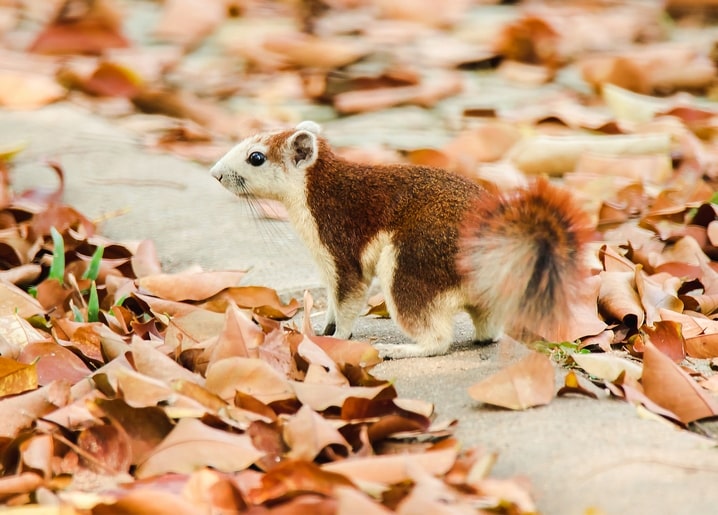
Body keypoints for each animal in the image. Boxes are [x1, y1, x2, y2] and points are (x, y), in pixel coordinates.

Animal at [210, 121, 592, 359]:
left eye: (256, 157)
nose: (214, 174)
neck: (313, 187)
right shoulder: (326, 264)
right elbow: (333, 300)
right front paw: (324, 325)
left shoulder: (339, 242)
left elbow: (348, 298)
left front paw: (336, 338)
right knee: (488, 322)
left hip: (411, 263)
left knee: (437, 338)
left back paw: (401, 350)